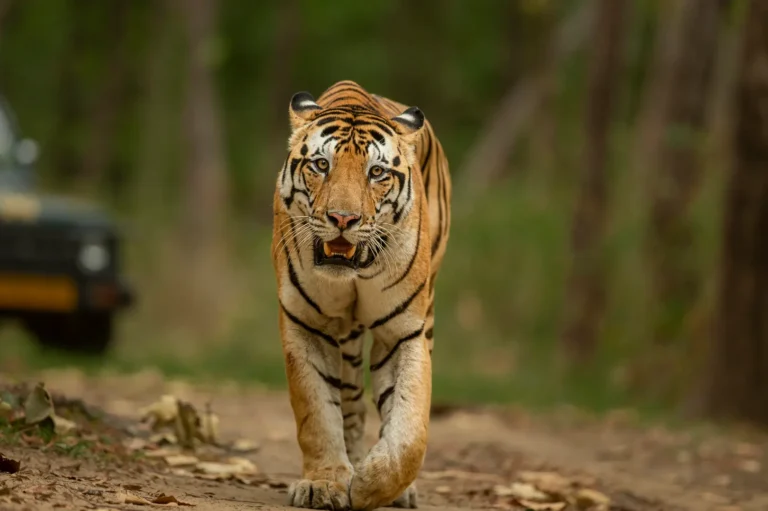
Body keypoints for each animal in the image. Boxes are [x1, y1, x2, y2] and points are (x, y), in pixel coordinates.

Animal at [271, 80, 451, 510]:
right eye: (322, 165)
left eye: (377, 172)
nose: (343, 219)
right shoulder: (305, 324)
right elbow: (317, 413)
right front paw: (323, 483)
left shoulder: (403, 332)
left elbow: (410, 430)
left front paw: (373, 486)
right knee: (350, 404)